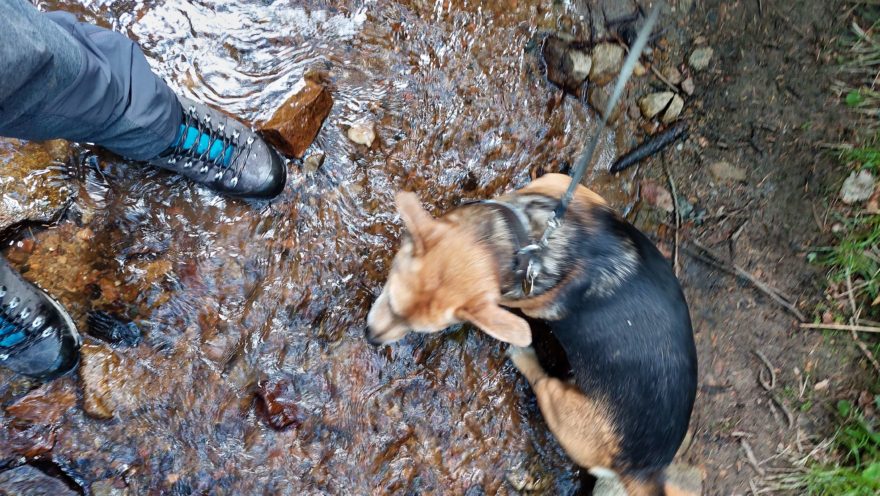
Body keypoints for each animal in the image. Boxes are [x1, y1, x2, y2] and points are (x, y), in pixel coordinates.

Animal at [366, 173, 697, 495]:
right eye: (390, 295)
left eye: (419, 329)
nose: (370, 337)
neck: (519, 242)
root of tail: (645, 470)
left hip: (562, 406)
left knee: (542, 383)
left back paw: (524, 357)